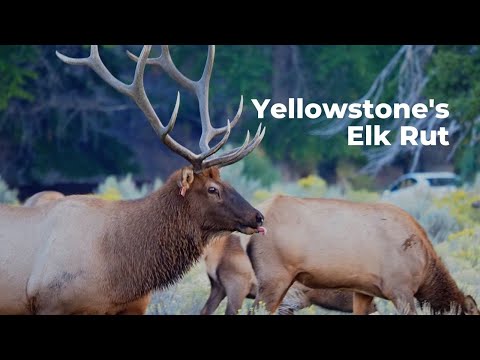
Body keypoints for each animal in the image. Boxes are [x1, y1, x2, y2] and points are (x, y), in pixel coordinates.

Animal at [0, 45, 266, 316]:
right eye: (212, 189)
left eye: (227, 183)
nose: (258, 216)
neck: (122, 277)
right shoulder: (52, 303)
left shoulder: (134, 307)